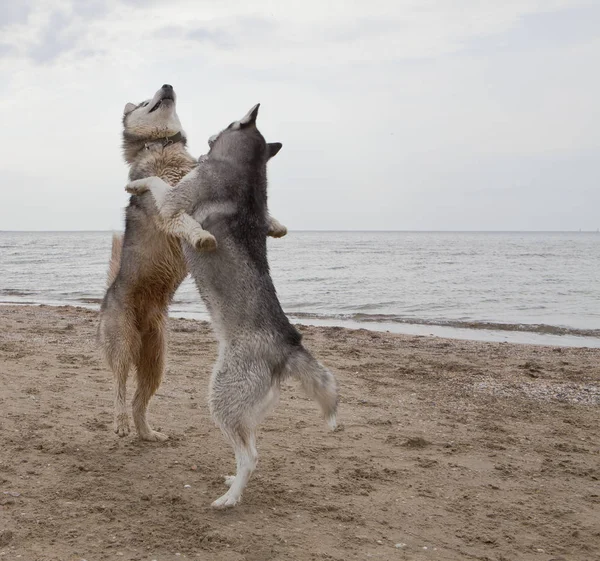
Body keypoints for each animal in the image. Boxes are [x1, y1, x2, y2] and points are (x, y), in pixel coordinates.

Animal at [98, 84, 288, 442]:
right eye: (144, 101)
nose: (167, 85)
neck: (164, 148)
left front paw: (274, 224)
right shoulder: (169, 208)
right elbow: (185, 221)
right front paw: (200, 236)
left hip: (156, 361)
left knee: (139, 400)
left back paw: (148, 433)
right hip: (123, 345)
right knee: (118, 386)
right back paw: (120, 422)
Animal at [126, 103, 338, 506]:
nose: (210, 133)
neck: (246, 171)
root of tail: (288, 344)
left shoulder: (174, 202)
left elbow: (158, 184)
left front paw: (137, 184)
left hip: (222, 395)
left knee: (250, 456)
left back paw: (230, 498)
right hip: (246, 410)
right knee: (251, 449)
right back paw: (232, 484)